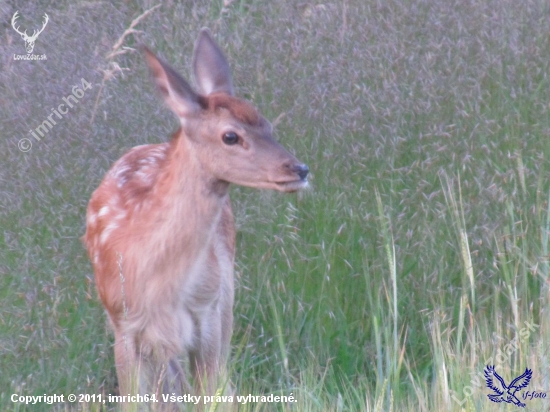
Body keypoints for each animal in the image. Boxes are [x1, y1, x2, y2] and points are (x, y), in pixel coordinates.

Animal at [85, 28, 310, 406]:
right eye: (230, 135)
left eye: (266, 124)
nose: (299, 169)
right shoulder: (124, 324)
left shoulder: (208, 313)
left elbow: (212, 396)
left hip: (226, 295)